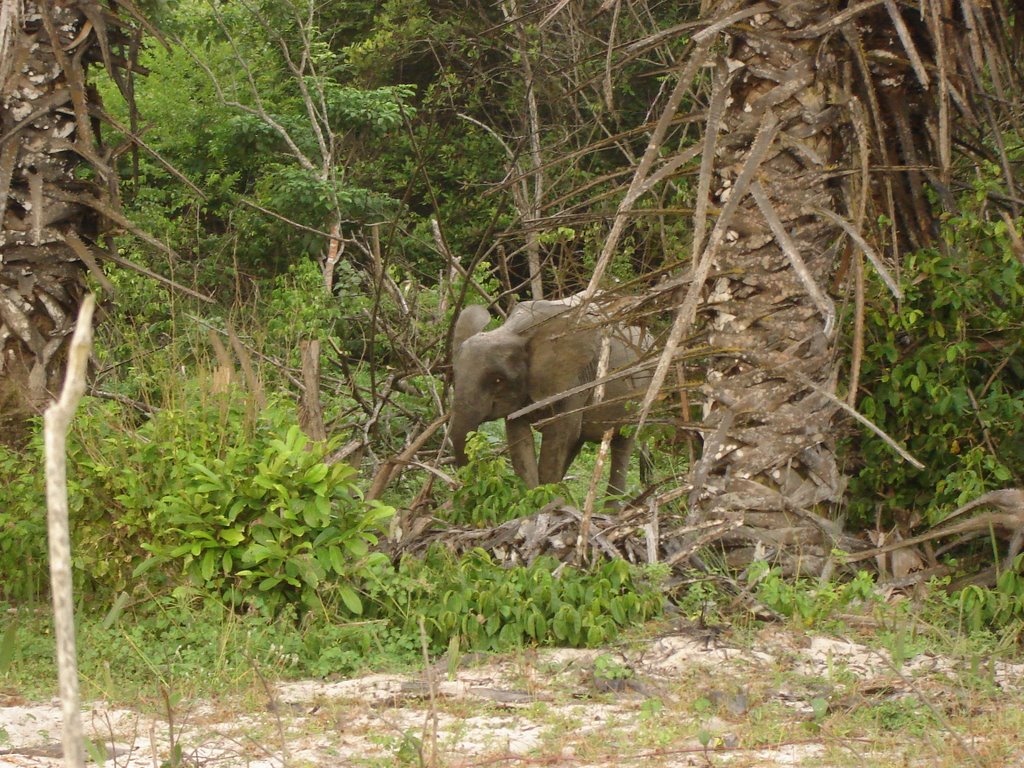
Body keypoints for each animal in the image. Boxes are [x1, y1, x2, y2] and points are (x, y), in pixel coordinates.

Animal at [446, 294, 647, 499]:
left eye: (497, 380)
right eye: (455, 375)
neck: (515, 332)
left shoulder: (576, 379)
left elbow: (560, 435)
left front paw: (544, 501)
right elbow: (520, 439)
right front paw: (533, 499)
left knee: (621, 444)